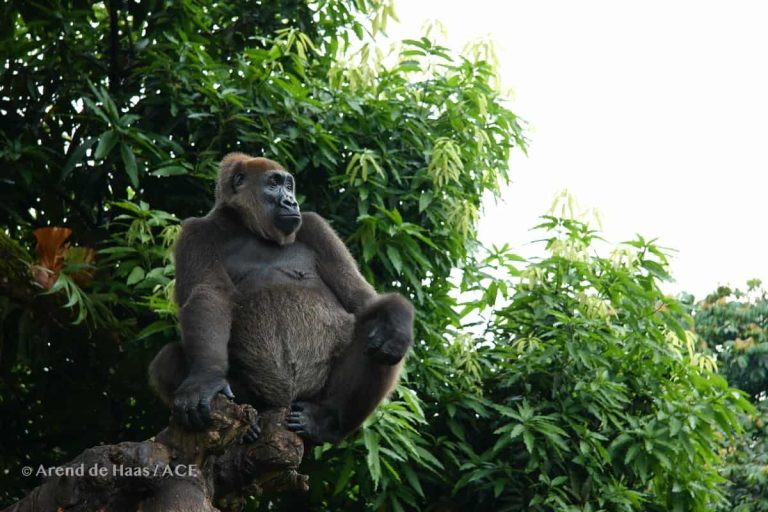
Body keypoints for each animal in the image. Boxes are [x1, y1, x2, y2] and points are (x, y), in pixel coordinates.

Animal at [148, 153, 414, 444]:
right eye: (274, 183)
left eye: (289, 186)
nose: (291, 201)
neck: (245, 226)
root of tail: (283, 405)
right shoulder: (196, 232)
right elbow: (207, 295)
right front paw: (205, 378)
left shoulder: (315, 225)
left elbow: (361, 298)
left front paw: (398, 321)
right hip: (258, 402)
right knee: (167, 359)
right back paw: (250, 429)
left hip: (311, 398)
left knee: (377, 335)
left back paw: (326, 420)